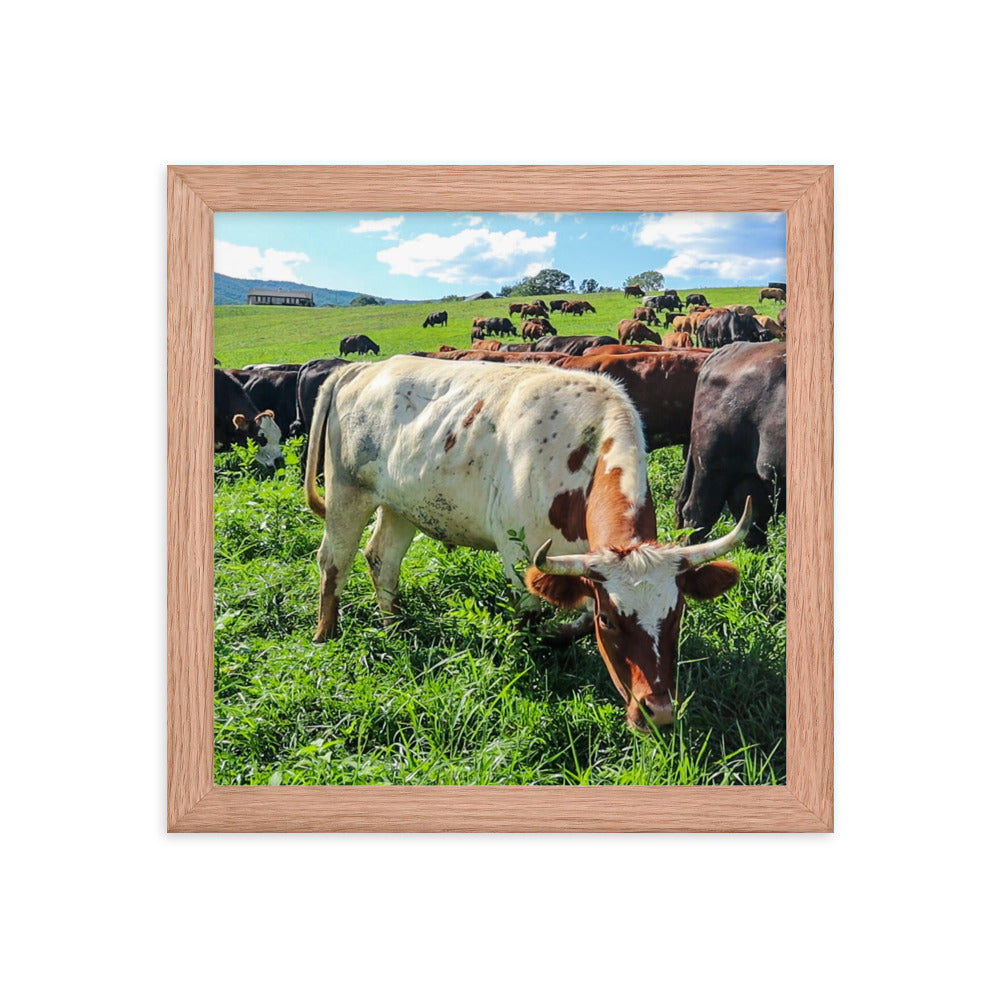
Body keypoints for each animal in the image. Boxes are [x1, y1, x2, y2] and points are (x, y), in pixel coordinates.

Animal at [305, 355, 751, 730]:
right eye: (611, 621)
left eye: (677, 614)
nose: (657, 712)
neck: (582, 453)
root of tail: (362, 368)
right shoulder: (520, 556)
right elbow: (532, 619)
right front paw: (534, 656)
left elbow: (576, 619)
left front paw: (559, 636)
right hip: (347, 494)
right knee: (333, 562)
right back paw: (326, 636)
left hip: (400, 506)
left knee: (382, 560)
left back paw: (395, 626)